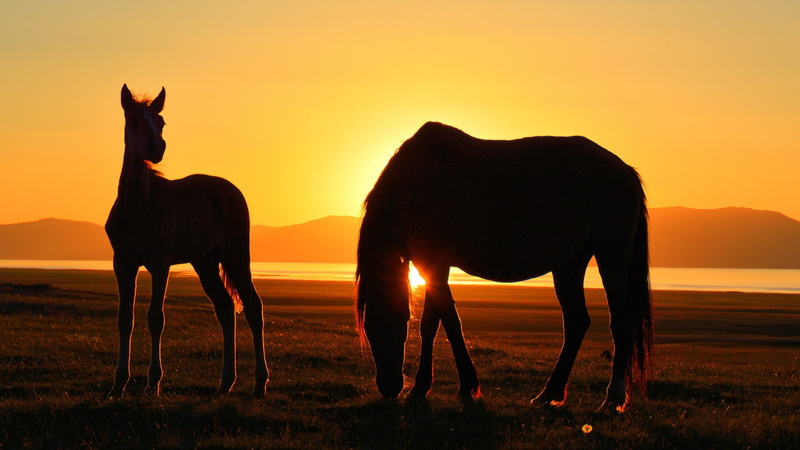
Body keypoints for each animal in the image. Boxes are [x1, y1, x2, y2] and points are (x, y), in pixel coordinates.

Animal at [105, 84, 269, 398]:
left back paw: (259, 383)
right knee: (225, 308)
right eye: (134, 122)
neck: (139, 206)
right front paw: (118, 384)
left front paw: (153, 382)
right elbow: (124, 320)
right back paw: (225, 382)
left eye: (161, 122)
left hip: (235, 255)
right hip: (204, 262)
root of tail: (231, 189)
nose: (157, 148)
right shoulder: (123, 264)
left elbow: (156, 318)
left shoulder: (160, 264)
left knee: (253, 306)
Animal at [355, 122, 653, 412]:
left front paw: (464, 386)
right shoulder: (432, 265)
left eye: (391, 321)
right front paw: (421, 388)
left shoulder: (434, 264)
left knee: (619, 322)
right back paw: (549, 393)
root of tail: (624, 170)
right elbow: (433, 323)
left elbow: (447, 321)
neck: (413, 187)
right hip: (570, 263)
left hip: (611, 256)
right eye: (369, 327)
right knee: (576, 322)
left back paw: (613, 397)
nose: (388, 387)